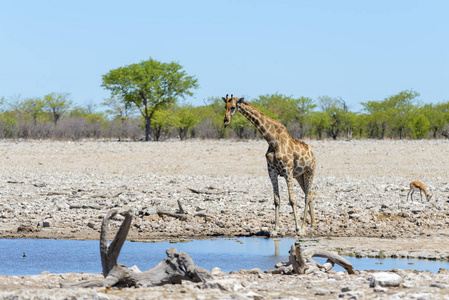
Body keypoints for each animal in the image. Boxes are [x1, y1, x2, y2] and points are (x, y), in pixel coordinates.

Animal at [223, 94, 316, 237]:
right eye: (224, 106)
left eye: (233, 107)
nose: (226, 121)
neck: (272, 140)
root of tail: (313, 153)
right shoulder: (272, 171)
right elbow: (276, 200)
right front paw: (275, 230)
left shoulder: (287, 170)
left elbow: (292, 199)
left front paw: (298, 229)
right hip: (300, 176)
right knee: (309, 194)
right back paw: (311, 226)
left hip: (310, 171)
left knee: (307, 196)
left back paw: (304, 227)